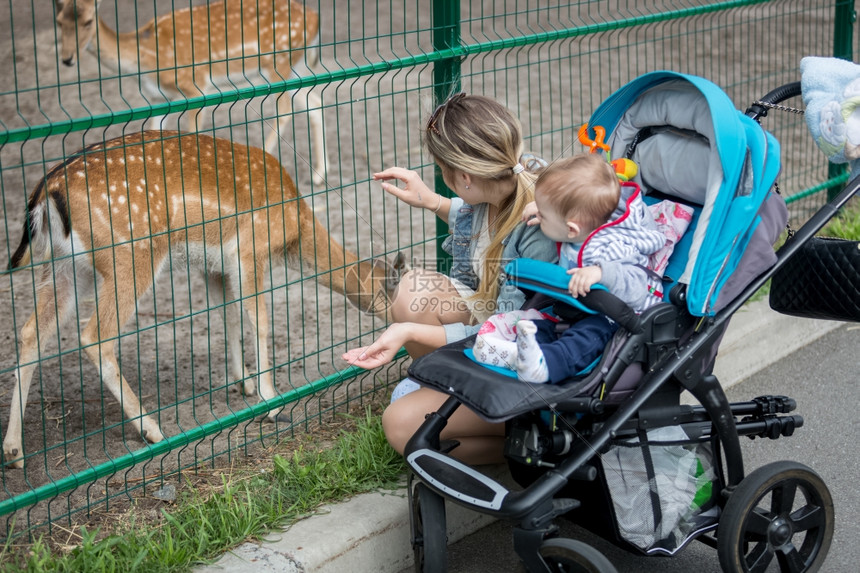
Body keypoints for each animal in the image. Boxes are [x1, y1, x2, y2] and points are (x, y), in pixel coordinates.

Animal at [0, 131, 404, 470]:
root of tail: (46, 190)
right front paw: (271, 402)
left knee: (30, 332)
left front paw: (244, 384)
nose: (399, 326)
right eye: (389, 291)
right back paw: (152, 429)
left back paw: (14, 451)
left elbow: (228, 318)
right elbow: (259, 321)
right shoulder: (249, 250)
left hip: (67, 266)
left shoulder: (214, 267)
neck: (294, 230)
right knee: (94, 334)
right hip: (130, 255)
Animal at [54, 0, 330, 183]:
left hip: (278, 63)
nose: (66, 59)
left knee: (284, 110)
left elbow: (193, 134)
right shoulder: (157, 97)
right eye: (58, 22)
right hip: (296, 66)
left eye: (88, 22)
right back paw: (318, 174)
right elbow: (154, 135)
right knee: (315, 102)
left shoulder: (196, 84)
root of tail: (316, 19)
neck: (146, 60)